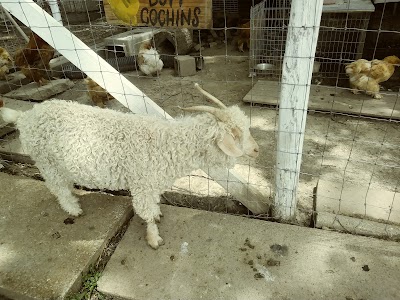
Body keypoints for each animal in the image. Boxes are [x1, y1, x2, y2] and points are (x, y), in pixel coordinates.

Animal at [0, 84, 260, 248]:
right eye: (237, 134)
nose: (257, 150)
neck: (168, 143)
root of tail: (24, 117)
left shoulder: (152, 185)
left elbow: (153, 207)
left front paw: (158, 215)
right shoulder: (143, 185)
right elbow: (146, 213)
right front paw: (154, 239)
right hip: (46, 161)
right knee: (57, 187)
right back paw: (73, 208)